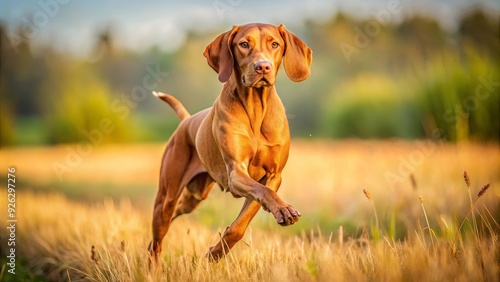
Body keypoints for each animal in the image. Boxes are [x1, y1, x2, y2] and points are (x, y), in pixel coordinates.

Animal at [149, 22, 312, 262]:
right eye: (244, 44)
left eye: (275, 44)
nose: (262, 67)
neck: (256, 107)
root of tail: (187, 120)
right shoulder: (236, 172)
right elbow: (263, 194)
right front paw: (284, 209)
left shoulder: (273, 175)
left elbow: (242, 222)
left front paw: (215, 253)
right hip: (167, 196)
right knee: (158, 238)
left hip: (194, 197)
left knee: (172, 219)